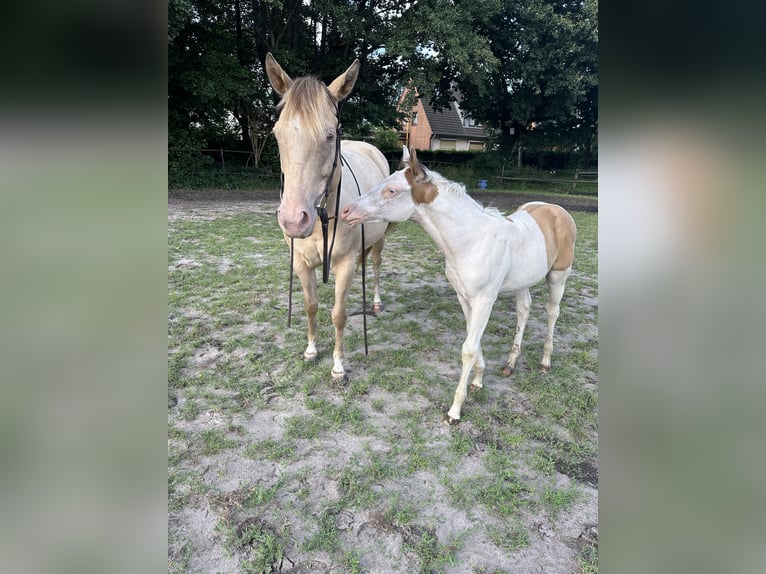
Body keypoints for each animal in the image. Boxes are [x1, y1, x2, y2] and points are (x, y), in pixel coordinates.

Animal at [268, 51, 392, 380]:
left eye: (328, 136)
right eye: (278, 135)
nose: (293, 220)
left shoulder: (345, 264)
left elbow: (338, 314)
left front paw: (338, 365)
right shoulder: (301, 263)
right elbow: (311, 306)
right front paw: (311, 349)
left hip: (380, 240)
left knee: (375, 265)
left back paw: (375, 303)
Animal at [342, 147, 576, 428]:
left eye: (391, 190)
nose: (347, 211)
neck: (471, 241)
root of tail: (557, 210)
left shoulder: (484, 300)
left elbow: (468, 348)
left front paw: (454, 411)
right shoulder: (464, 297)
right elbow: (473, 340)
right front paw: (478, 380)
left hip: (558, 277)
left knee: (552, 312)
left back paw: (545, 362)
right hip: (523, 282)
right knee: (524, 310)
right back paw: (510, 364)